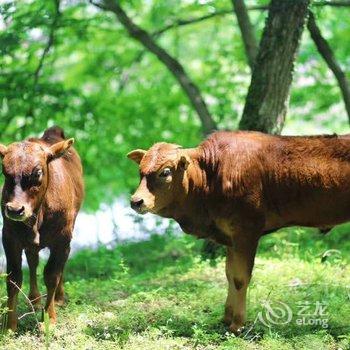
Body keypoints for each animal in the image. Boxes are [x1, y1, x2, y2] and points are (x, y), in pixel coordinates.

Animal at [0, 126, 84, 330]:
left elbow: (52, 274)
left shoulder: (62, 239)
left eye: (37, 172)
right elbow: (14, 278)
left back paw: (59, 298)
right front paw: (10, 326)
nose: (15, 209)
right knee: (33, 260)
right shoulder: (9, 237)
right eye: (5, 172)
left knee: (60, 265)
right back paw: (35, 298)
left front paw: (49, 318)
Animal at [128, 131, 350, 334]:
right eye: (140, 171)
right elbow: (229, 274)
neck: (211, 175)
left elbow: (240, 278)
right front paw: (226, 318)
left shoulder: (247, 231)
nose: (136, 201)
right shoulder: (230, 236)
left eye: (165, 172)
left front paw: (237, 324)